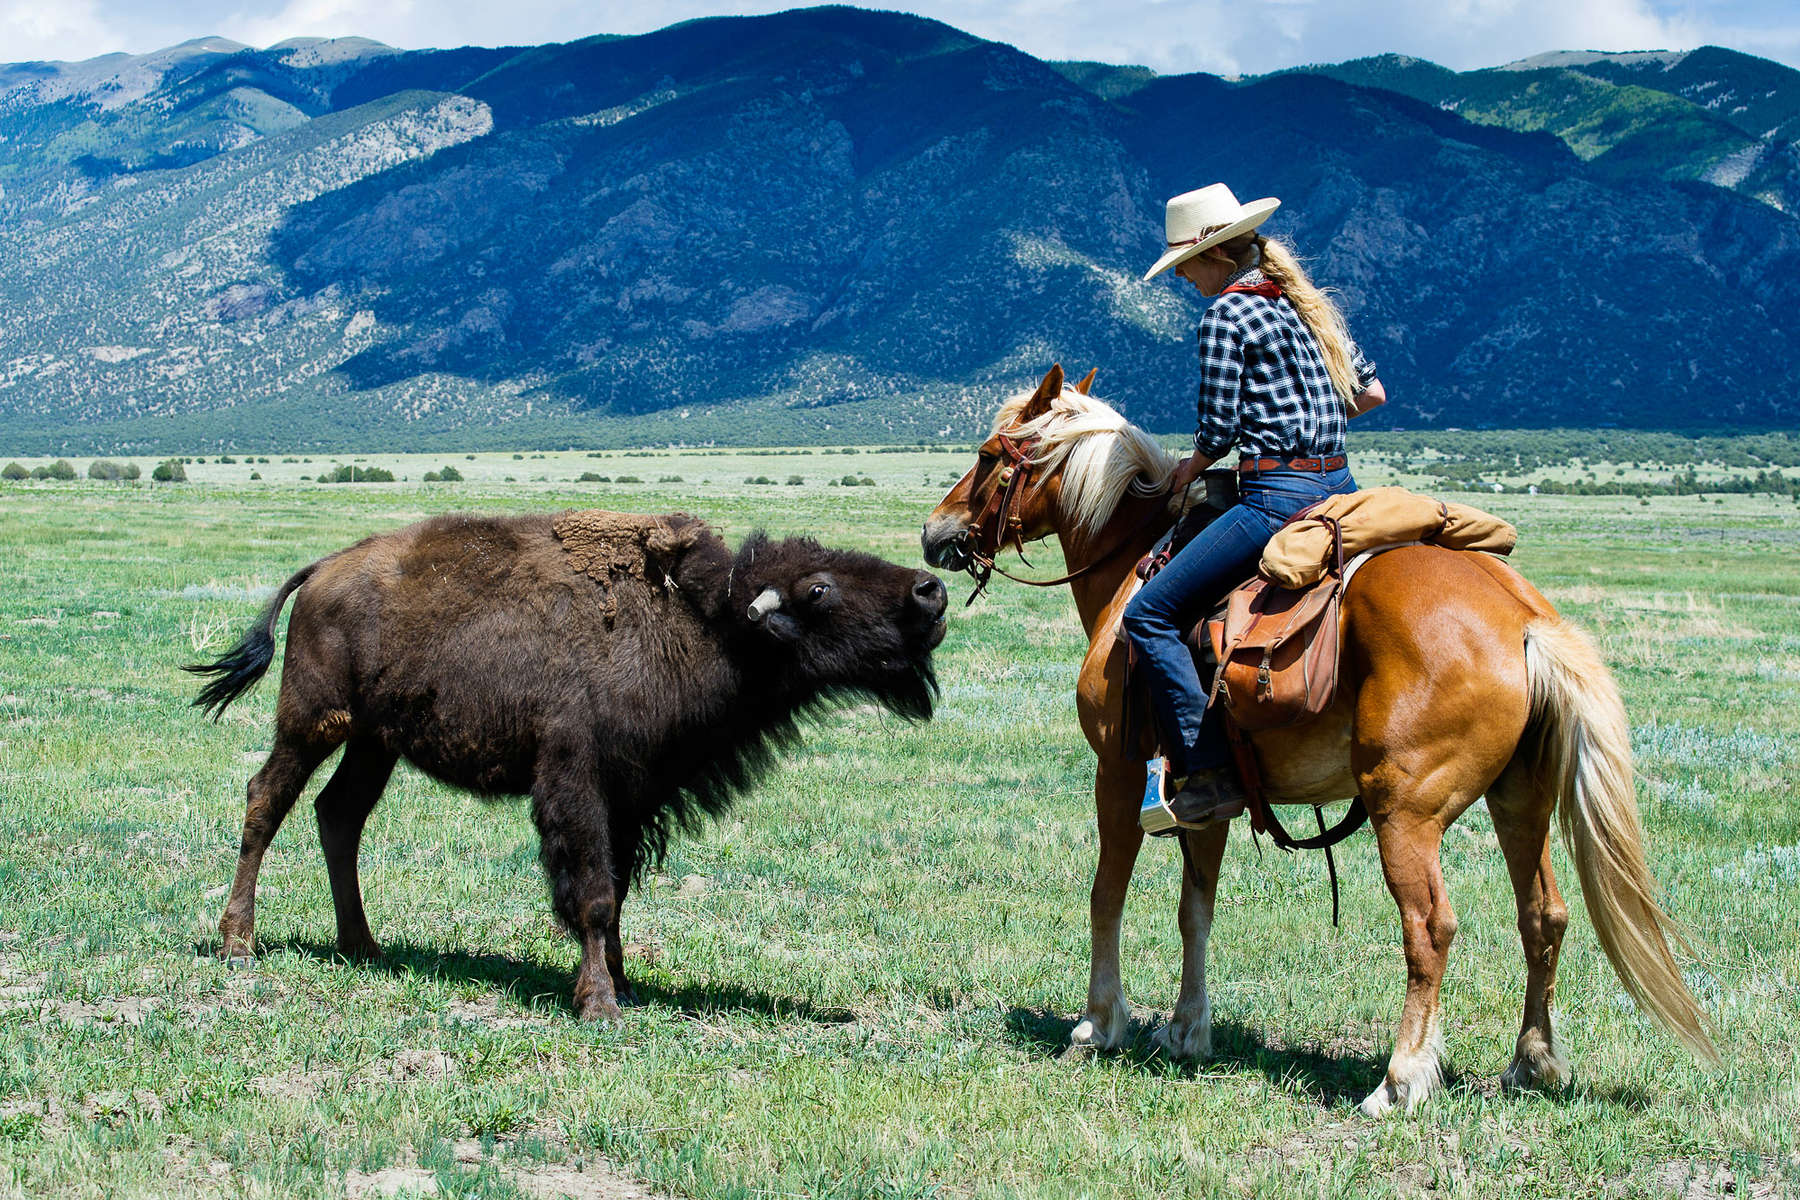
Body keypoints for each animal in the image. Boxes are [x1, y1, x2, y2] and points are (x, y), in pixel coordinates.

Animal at [188, 510, 950, 1021]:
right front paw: (600, 1005)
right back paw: (238, 943)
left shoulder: (630, 796)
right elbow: (593, 894)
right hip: (313, 722)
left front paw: (623, 983)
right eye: (818, 589)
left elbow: (617, 892)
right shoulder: (576, 784)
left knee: (338, 815)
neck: (707, 624)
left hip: (374, 742)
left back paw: (363, 946)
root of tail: (324, 568)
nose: (930, 592)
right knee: (265, 800)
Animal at [921, 367, 1720, 1115]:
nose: (935, 533)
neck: (1134, 570)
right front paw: (1187, 1029)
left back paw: (1400, 1081)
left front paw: (1097, 1025)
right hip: (1519, 799)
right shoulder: (1206, 794)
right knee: (1543, 916)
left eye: (990, 455)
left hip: (1405, 810)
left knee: (1430, 928)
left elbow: (1105, 894)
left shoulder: (1118, 772)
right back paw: (1530, 1062)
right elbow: (1194, 908)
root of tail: (1523, 619)